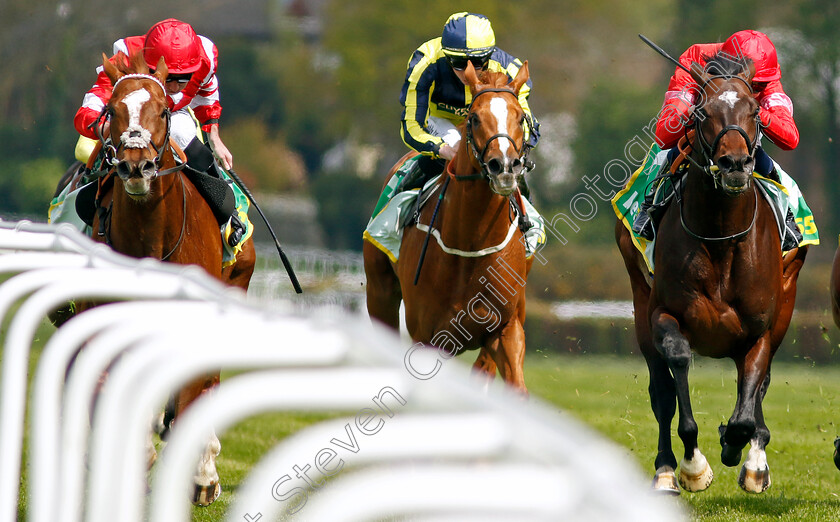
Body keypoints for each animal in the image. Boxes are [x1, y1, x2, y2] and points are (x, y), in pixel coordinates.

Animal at [92, 50, 254, 502]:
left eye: (163, 110)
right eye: (112, 110)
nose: (136, 166)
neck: (152, 232)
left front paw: (198, 474)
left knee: (208, 379)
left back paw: (204, 471)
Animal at [360, 62, 532, 390]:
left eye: (520, 117)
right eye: (474, 118)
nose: (504, 167)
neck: (471, 244)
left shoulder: (506, 330)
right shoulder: (427, 337)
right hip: (379, 292)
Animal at [616, 54, 808, 494]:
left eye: (754, 111)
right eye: (703, 112)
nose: (734, 164)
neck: (721, 236)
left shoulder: (760, 328)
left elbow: (747, 406)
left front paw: (741, 450)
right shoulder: (663, 312)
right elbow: (677, 364)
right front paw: (693, 465)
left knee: (758, 384)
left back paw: (755, 459)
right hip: (638, 299)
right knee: (661, 391)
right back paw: (666, 470)